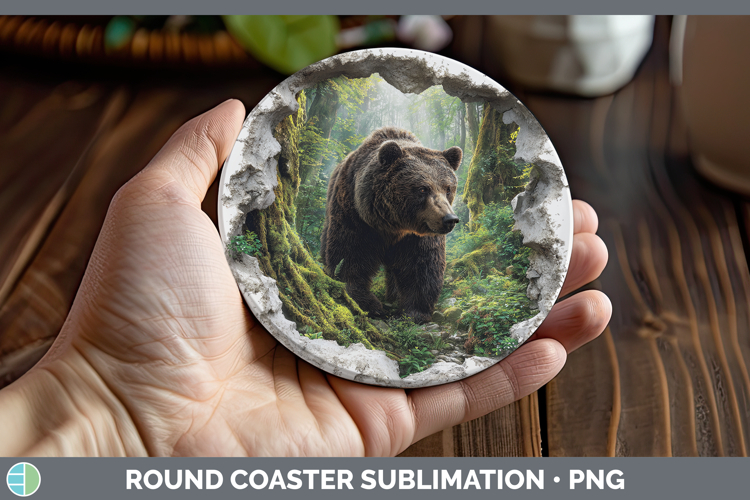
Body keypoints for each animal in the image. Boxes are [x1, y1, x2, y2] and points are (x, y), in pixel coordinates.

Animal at [320, 127, 462, 324]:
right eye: (422, 188)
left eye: (448, 188)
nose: (449, 219)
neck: (393, 226)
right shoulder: (356, 216)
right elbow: (351, 254)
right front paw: (365, 301)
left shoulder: (417, 235)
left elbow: (421, 265)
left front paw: (415, 311)